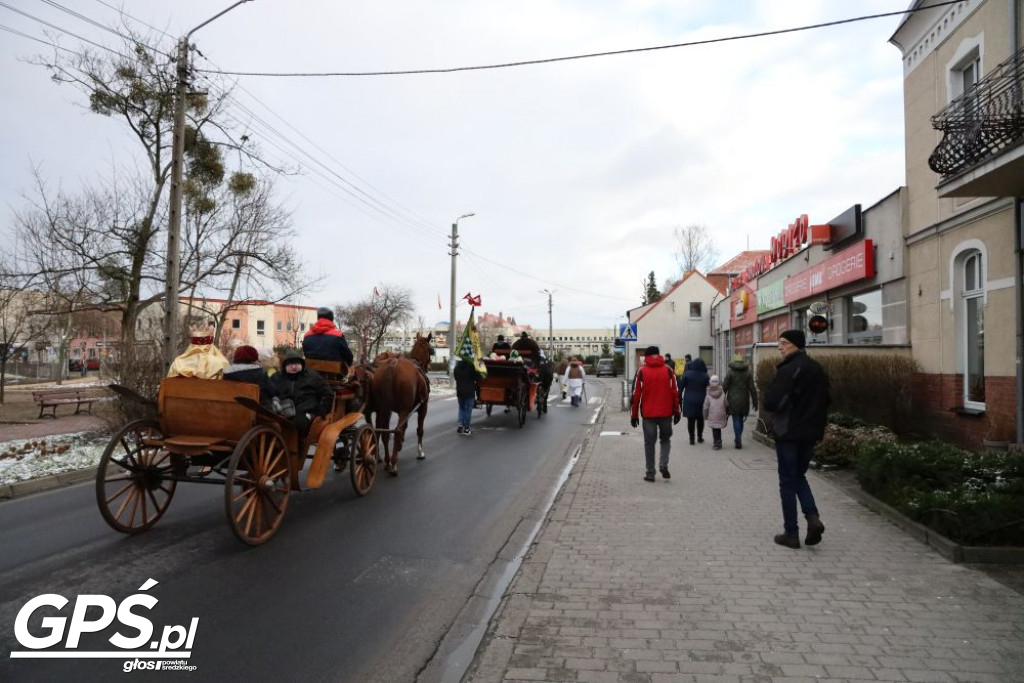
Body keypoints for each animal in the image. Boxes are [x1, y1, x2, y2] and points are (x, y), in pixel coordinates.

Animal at [368, 331, 432, 475]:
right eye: (430, 349)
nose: (428, 365)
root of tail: (392, 365)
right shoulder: (422, 407)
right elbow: (419, 429)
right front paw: (420, 452)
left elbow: (404, 427)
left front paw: (400, 445)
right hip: (403, 409)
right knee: (395, 430)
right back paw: (393, 464)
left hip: (383, 409)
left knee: (384, 432)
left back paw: (387, 461)